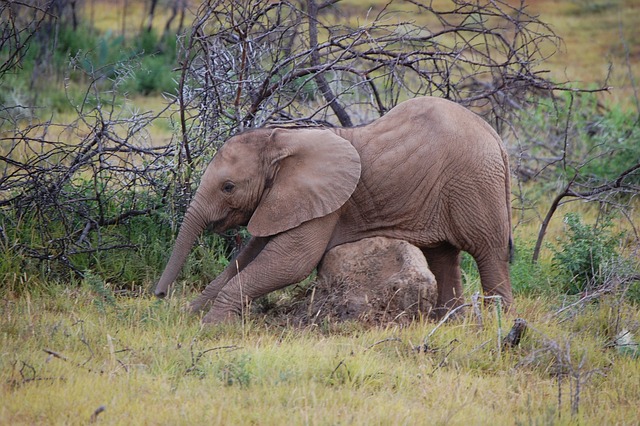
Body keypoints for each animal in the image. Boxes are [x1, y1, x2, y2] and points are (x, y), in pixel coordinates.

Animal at [155, 96, 516, 322]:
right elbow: (249, 257)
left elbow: (290, 263)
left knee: (488, 253)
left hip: (475, 184)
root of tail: (495, 136)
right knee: (443, 257)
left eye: (228, 187)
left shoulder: (325, 204)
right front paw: (191, 314)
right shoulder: (284, 200)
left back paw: (499, 324)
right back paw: (448, 321)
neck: (284, 139)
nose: (159, 296)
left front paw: (211, 326)